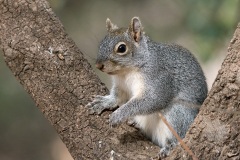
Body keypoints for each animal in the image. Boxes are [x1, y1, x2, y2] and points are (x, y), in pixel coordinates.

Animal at [86, 17, 208, 158]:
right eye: (101, 43)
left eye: (121, 48)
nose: (98, 65)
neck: (126, 72)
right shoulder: (121, 85)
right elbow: (117, 97)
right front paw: (104, 102)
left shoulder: (160, 78)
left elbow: (152, 100)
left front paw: (119, 115)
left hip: (179, 113)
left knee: (179, 133)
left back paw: (170, 146)